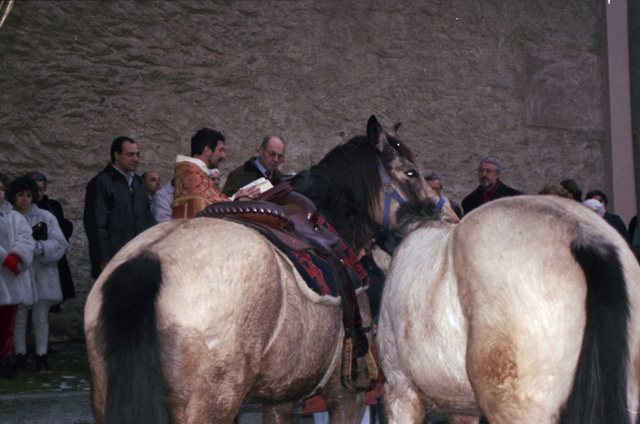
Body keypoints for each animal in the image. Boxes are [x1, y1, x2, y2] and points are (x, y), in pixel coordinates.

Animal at [84, 115, 432, 424]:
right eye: (412, 172)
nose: (440, 214)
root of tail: (149, 259)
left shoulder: (281, 395)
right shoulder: (346, 395)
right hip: (211, 404)